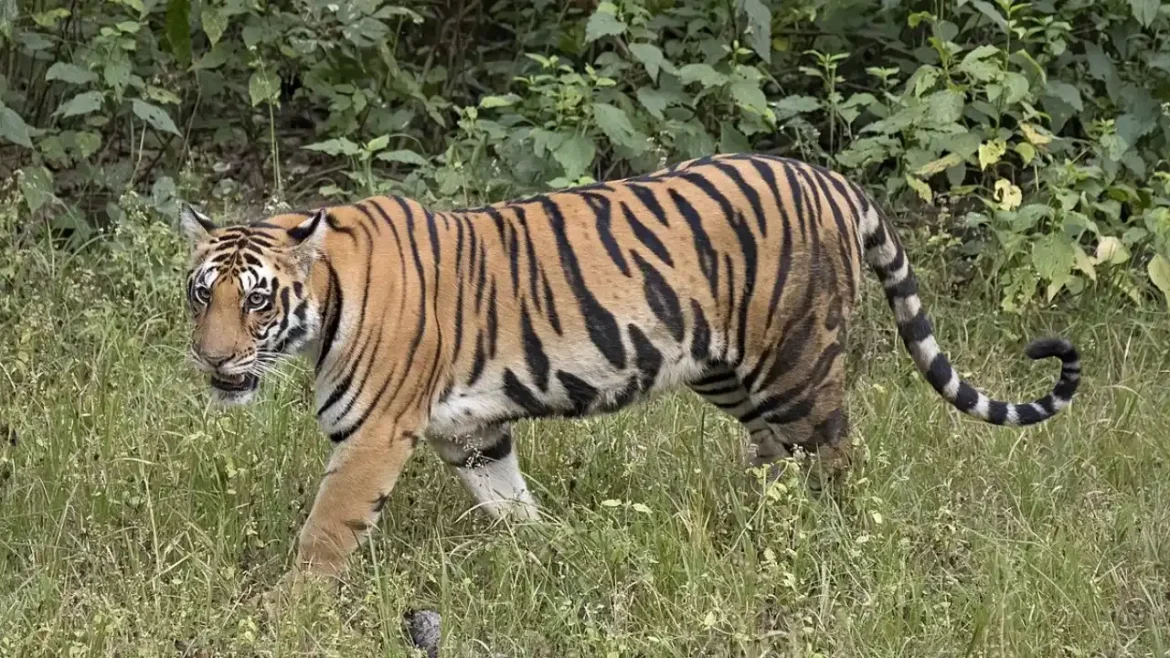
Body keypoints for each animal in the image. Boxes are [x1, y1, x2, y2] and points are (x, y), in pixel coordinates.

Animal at [177, 152, 1081, 577]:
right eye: (200, 295)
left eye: (256, 301)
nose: (211, 360)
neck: (325, 302)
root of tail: (829, 177)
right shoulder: (471, 432)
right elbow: (509, 502)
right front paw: (548, 553)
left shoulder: (372, 437)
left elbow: (326, 532)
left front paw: (293, 613)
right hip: (730, 371)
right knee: (776, 455)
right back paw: (758, 526)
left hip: (796, 363)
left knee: (837, 457)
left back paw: (835, 539)